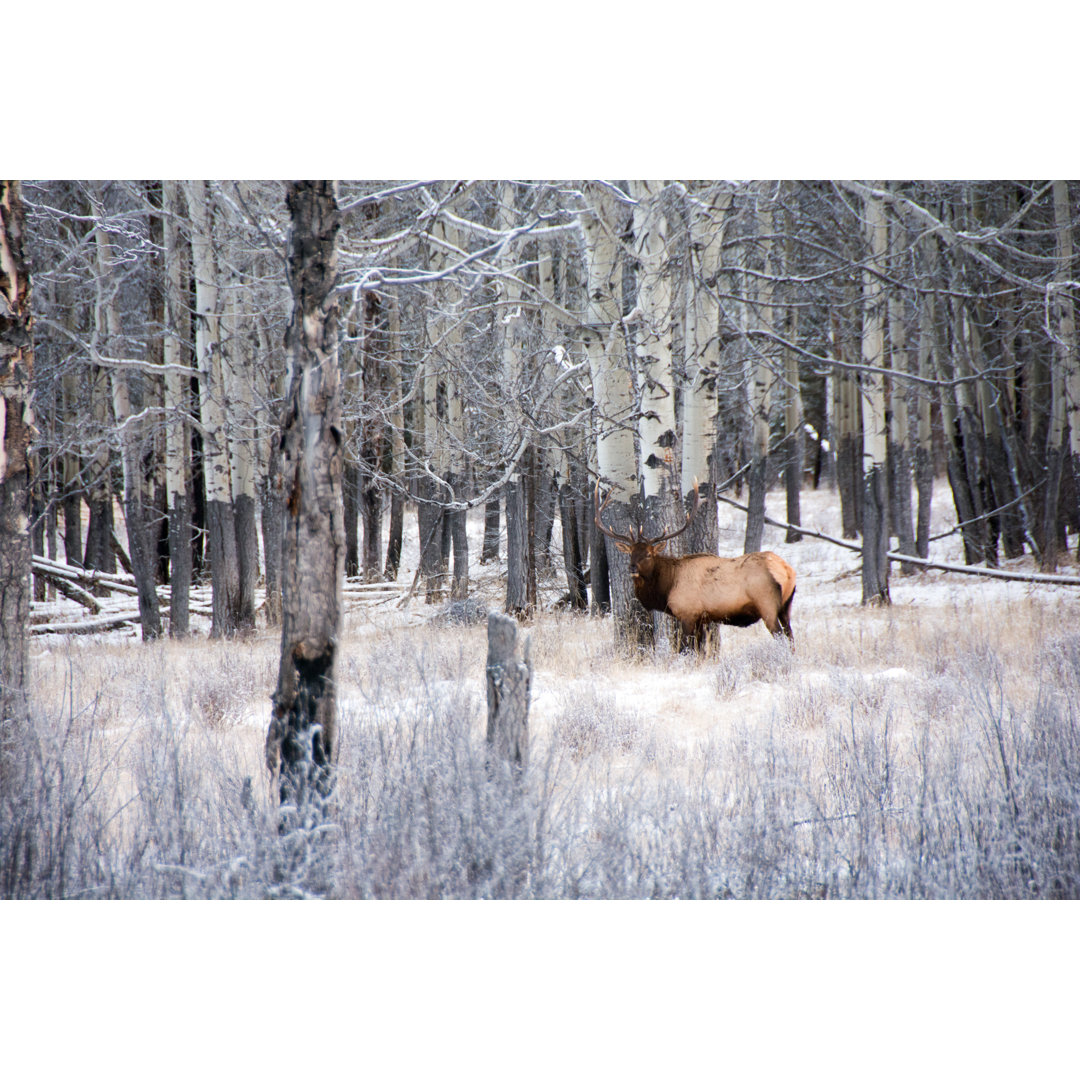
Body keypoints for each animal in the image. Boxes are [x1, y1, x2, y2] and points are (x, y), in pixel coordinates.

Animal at [596, 483, 799, 648]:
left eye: (648, 554)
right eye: (630, 553)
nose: (632, 568)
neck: (667, 587)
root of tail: (787, 570)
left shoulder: (687, 613)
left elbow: (686, 649)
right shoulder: (702, 618)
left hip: (767, 604)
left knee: (781, 638)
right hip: (786, 606)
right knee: (791, 637)